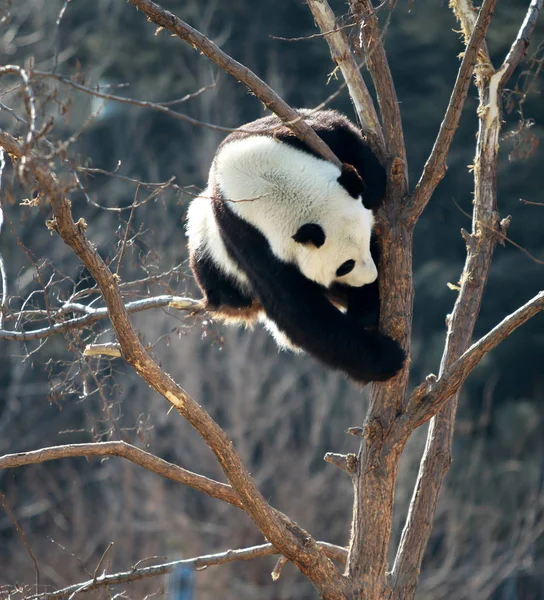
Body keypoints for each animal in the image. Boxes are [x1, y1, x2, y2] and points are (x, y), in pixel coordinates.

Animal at [187, 108, 404, 382]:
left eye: (366, 241)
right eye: (345, 265)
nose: (370, 278)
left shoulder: (293, 134)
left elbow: (340, 131)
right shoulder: (251, 242)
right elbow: (299, 312)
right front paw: (388, 357)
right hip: (207, 242)